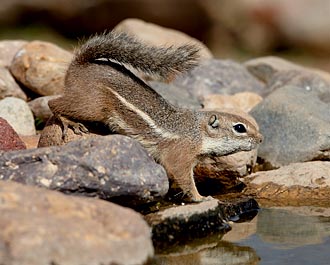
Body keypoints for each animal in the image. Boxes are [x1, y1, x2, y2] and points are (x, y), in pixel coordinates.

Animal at [48, 29, 262, 201]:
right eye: (239, 128)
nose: (260, 139)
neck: (197, 131)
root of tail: (79, 64)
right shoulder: (180, 155)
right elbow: (183, 176)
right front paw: (200, 197)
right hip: (91, 105)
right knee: (53, 103)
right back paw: (68, 122)